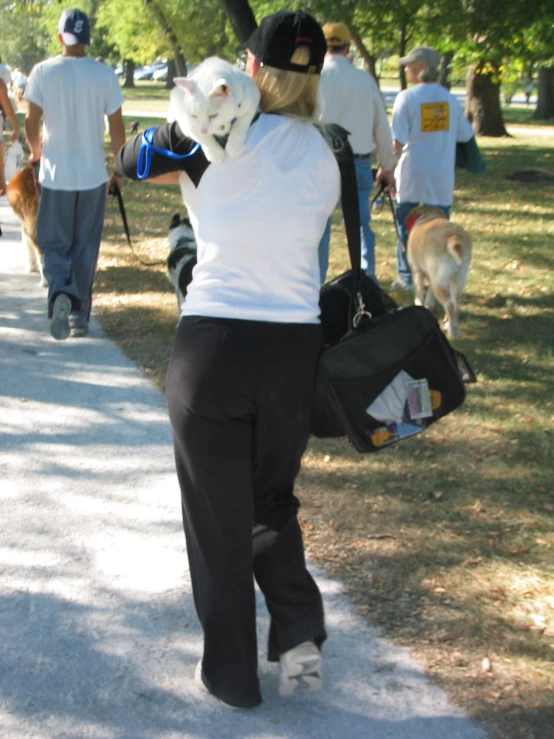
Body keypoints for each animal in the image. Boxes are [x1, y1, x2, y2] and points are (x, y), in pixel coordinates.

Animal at [404, 205, 468, 338]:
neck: (427, 215)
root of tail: (453, 237)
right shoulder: (431, 277)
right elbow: (429, 295)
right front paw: (428, 306)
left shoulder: (417, 271)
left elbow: (419, 292)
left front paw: (419, 305)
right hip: (457, 279)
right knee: (456, 304)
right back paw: (449, 325)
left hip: (440, 282)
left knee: (449, 304)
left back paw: (453, 331)